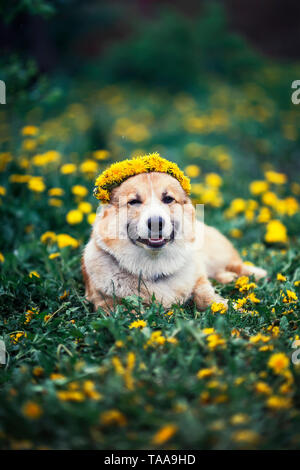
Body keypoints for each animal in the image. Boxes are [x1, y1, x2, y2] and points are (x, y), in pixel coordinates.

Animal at [81, 156, 264, 314]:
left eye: (168, 199)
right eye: (134, 202)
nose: (156, 223)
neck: (154, 266)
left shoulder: (199, 279)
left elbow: (206, 296)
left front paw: (232, 308)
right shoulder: (106, 303)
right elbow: (130, 311)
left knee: (235, 265)